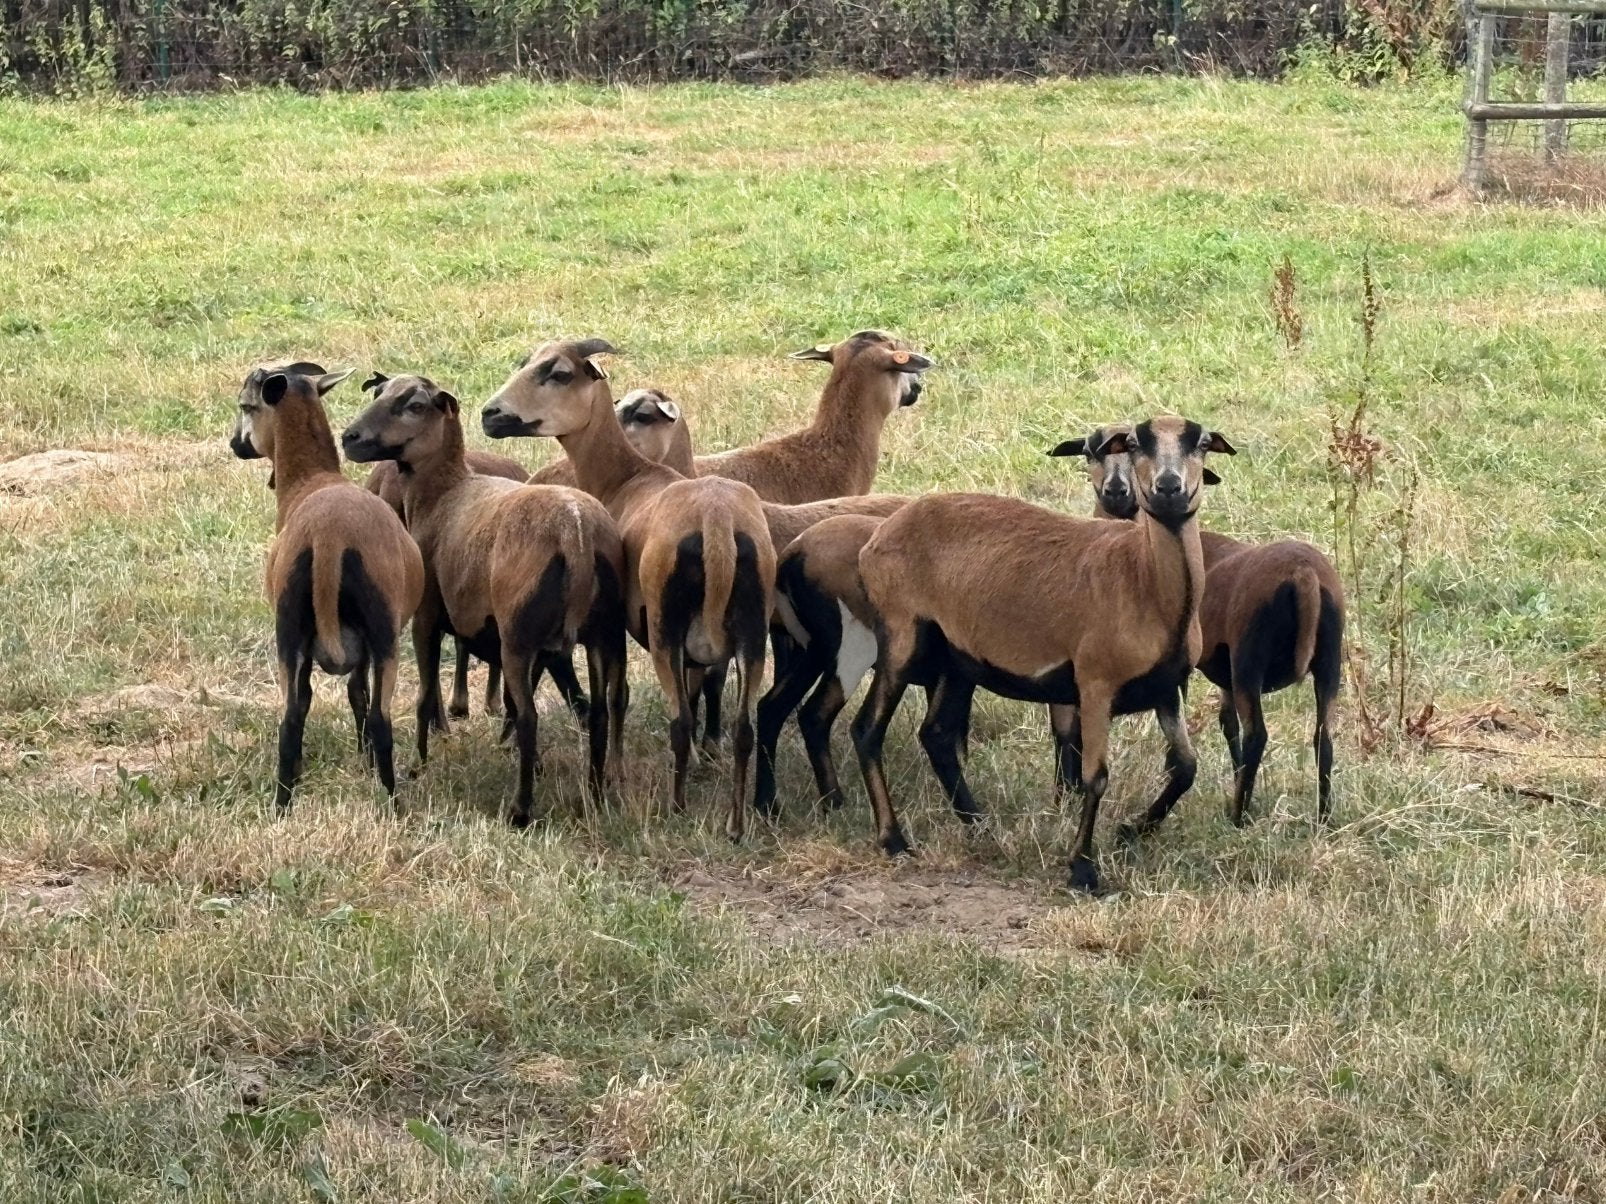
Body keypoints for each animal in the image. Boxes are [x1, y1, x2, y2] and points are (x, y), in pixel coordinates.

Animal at [229, 361, 424, 812]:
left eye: (246, 406)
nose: (235, 445)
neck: (311, 479)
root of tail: (328, 537)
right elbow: (356, 692)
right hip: (380, 633)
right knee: (376, 719)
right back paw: (390, 803)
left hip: (292, 630)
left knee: (292, 717)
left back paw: (284, 804)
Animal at [341, 373, 627, 825]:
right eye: (379, 393)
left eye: (415, 405)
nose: (349, 437)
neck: (444, 492)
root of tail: (576, 531)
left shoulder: (426, 618)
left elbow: (425, 697)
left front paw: (418, 765)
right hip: (602, 633)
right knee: (598, 713)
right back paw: (595, 799)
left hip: (518, 635)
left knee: (530, 718)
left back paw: (520, 810)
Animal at [480, 338, 775, 840]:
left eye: (558, 373)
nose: (489, 414)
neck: (626, 477)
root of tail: (717, 522)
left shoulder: (614, 623)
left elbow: (618, 698)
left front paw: (615, 772)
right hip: (753, 634)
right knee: (743, 730)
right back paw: (735, 825)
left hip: (663, 628)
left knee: (679, 722)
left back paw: (676, 809)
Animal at [853, 416, 1235, 894]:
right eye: (1133, 443)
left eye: (1201, 443)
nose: (1169, 488)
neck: (1145, 581)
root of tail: (875, 540)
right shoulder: (1094, 683)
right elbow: (1096, 777)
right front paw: (1083, 869)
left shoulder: (1167, 688)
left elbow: (1186, 767)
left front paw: (1131, 831)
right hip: (902, 635)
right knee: (867, 729)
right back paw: (894, 839)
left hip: (958, 658)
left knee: (936, 735)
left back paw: (979, 825)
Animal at [1051, 428, 1344, 823]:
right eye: (1087, 453)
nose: (1116, 493)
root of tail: (1305, 575)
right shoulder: (1219, 676)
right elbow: (1226, 722)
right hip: (1328, 662)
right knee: (1323, 738)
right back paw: (1323, 815)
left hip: (1249, 660)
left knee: (1258, 735)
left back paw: (1238, 816)